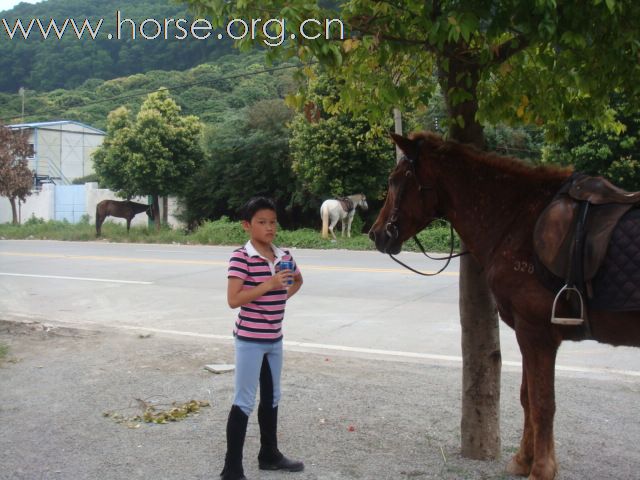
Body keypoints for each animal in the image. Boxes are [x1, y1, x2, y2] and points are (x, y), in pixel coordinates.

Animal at [364, 131, 640, 480]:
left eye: (396, 180)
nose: (376, 234)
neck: (518, 220)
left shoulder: (536, 333)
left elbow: (542, 402)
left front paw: (541, 469)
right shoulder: (527, 334)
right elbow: (526, 397)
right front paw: (523, 460)